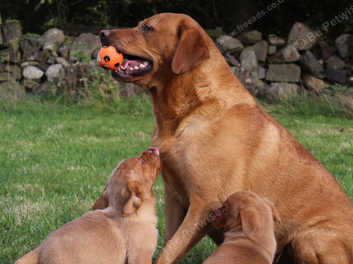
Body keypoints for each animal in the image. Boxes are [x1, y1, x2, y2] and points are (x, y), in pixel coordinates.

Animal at [99, 12, 353, 264]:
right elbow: (168, 244)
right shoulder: (174, 197)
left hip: (308, 239)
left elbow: (169, 251)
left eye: (147, 28)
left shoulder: (204, 204)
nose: (102, 33)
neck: (189, 110)